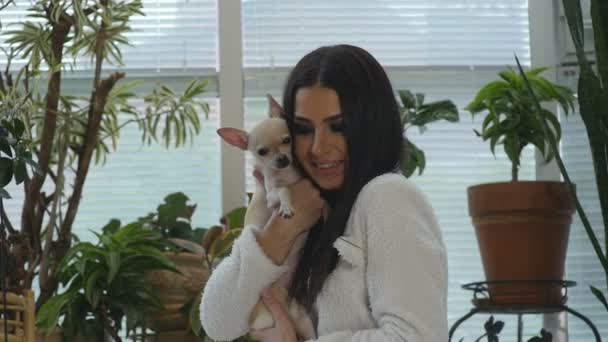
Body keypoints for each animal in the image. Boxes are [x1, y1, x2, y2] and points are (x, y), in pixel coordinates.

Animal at [216, 93, 316, 340]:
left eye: (288, 140)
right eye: (262, 151)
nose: (282, 159)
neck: (287, 173)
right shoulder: (271, 192)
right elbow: (283, 190)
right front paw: (287, 207)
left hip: (303, 319)